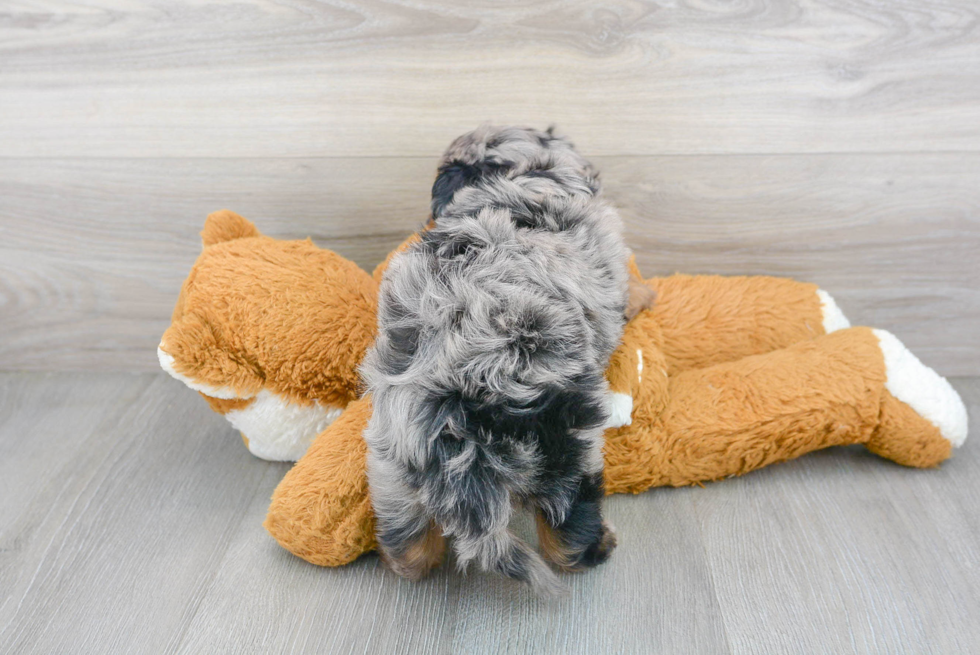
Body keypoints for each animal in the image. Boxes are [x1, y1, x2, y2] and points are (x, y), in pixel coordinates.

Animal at [360, 123, 652, 596]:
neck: (521, 176)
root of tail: (457, 410)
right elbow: (629, 283)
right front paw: (647, 294)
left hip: (393, 466)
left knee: (407, 545)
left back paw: (401, 557)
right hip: (567, 454)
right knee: (567, 534)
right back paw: (599, 546)